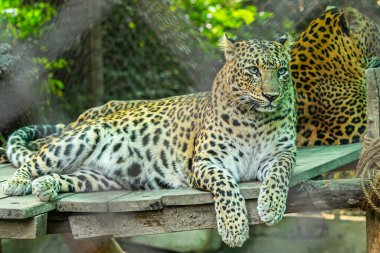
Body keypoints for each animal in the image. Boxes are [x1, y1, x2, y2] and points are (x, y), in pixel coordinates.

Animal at [1, 34, 296, 248]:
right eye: (253, 70)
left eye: (282, 71)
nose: (272, 96)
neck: (254, 120)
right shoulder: (205, 162)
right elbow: (225, 185)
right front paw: (234, 228)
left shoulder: (282, 154)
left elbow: (280, 174)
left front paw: (271, 205)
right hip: (80, 138)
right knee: (34, 160)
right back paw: (17, 184)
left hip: (99, 178)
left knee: (66, 176)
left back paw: (46, 185)